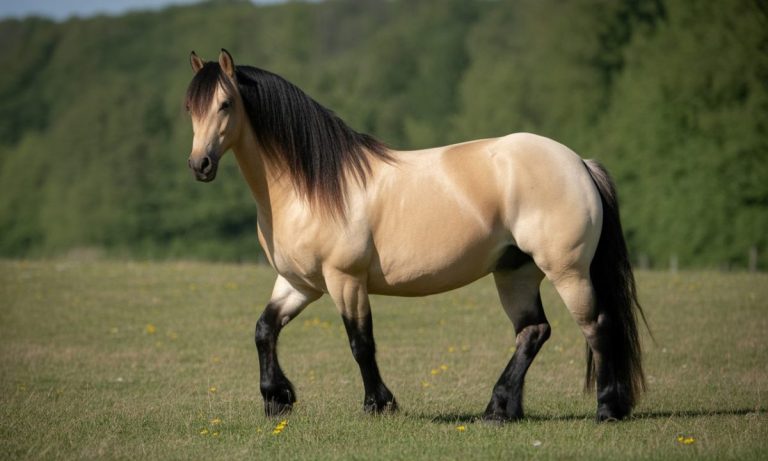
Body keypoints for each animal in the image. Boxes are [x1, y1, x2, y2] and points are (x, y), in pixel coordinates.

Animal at [184, 49, 648, 422]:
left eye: (225, 104)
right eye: (190, 107)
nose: (199, 165)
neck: (310, 188)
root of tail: (579, 163)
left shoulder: (345, 280)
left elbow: (360, 342)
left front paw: (379, 404)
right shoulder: (300, 283)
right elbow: (264, 329)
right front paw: (277, 398)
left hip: (567, 271)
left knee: (596, 327)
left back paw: (607, 409)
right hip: (516, 272)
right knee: (533, 332)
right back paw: (499, 410)